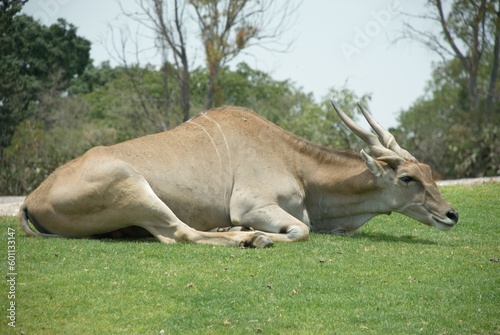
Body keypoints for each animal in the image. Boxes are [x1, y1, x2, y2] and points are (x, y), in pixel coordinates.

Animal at [18, 103, 458, 248]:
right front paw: (258, 235)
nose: (452, 214)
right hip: (131, 185)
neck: (296, 164)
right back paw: (248, 239)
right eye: (408, 179)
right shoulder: (253, 205)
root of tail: (30, 200)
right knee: (179, 234)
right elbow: (301, 230)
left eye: (429, 171)